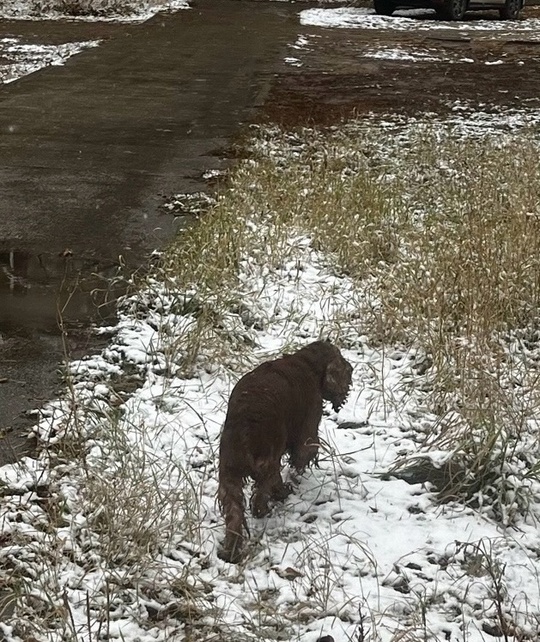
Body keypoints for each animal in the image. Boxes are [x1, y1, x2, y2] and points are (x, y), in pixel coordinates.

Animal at [217, 340, 352, 560]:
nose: (351, 368)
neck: (306, 362)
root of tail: (245, 423)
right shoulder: (308, 432)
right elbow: (303, 456)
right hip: (267, 462)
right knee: (262, 495)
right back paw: (276, 499)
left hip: (229, 475)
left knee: (235, 515)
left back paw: (231, 550)